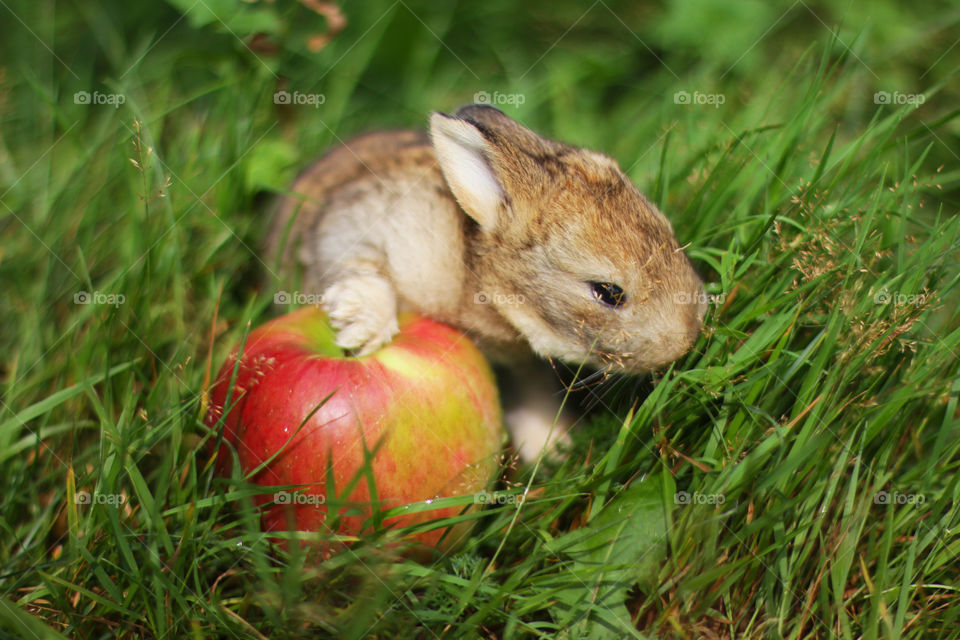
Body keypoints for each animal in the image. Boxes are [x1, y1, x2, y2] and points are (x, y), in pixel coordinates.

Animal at [266, 105, 705, 461]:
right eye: (608, 292)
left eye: (670, 234)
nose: (686, 338)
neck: (479, 281)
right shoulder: (360, 225)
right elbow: (360, 265)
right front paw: (362, 330)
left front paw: (551, 448)